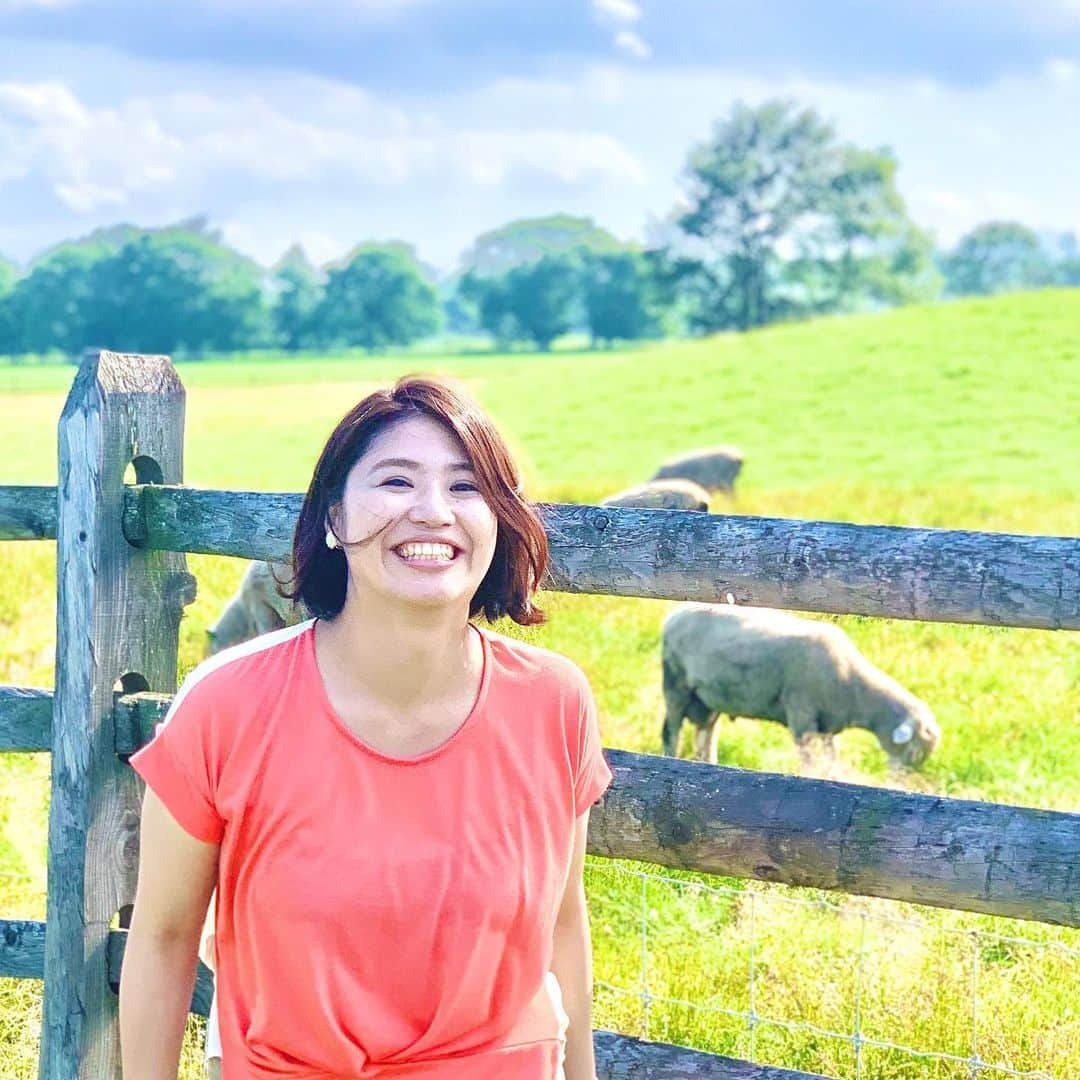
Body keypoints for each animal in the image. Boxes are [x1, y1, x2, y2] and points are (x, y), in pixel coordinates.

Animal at [656, 609, 937, 768]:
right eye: (914, 750)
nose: (900, 777)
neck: (854, 687)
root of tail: (674, 615)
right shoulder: (802, 717)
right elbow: (809, 761)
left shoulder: (826, 726)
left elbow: (831, 760)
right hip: (676, 684)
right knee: (672, 731)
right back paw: (672, 759)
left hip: (708, 699)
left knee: (706, 733)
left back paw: (709, 764)